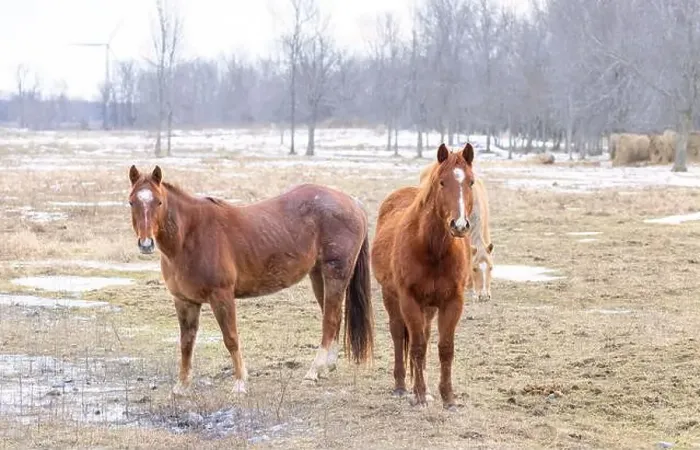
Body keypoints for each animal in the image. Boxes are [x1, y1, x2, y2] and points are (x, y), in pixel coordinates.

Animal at [127, 165, 374, 396]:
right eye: (131, 202)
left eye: (159, 202)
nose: (146, 244)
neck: (191, 236)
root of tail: (353, 203)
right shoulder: (184, 301)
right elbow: (186, 343)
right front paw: (181, 386)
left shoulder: (222, 296)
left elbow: (231, 338)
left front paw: (239, 383)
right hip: (318, 276)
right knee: (334, 317)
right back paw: (326, 367)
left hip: (335, 274)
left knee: (330, 320)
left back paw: (313, 372)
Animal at [371, 143, 475, 409]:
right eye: (441, 182)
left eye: (470, 182)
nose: (459, 225)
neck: (433, 249)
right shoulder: (409, 300)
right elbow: (416, 346)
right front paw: (418, 395)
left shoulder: (452, 302)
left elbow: (445, 348)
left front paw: (447, 398)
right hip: (392, 297)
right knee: (399, 334)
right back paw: (400, 386)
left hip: (429, 307)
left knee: (426, 336)